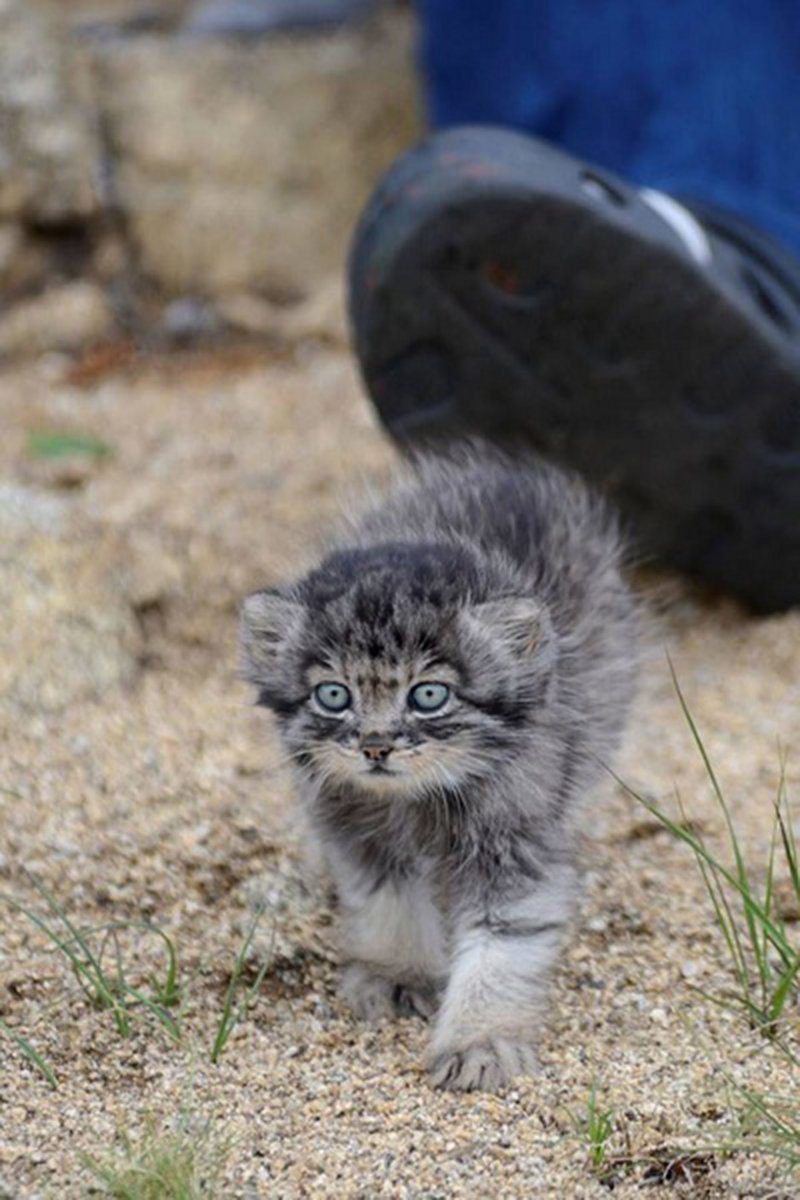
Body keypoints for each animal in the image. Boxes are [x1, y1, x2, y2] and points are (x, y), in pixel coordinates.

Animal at [239, 446, 638, 1094]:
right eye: (333, 695)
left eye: (428, 696)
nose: (376, 746)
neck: (417, 802)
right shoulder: (361, 834)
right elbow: (390, 905)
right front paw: (399, 973)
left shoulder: (516, 845)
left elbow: (501, 951)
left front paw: (479, 1042)